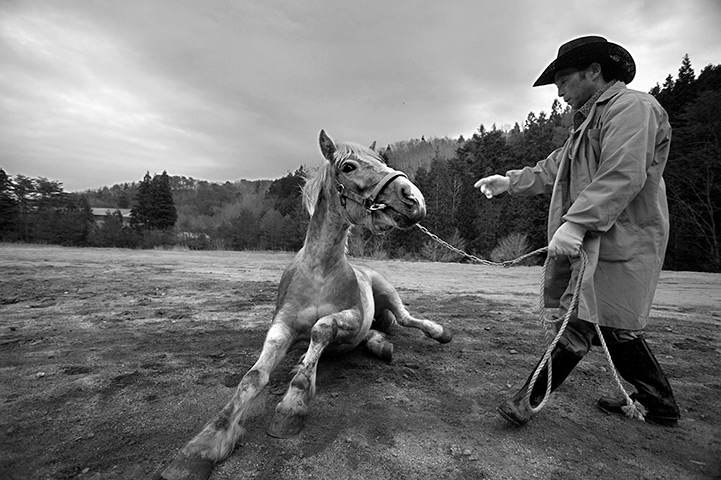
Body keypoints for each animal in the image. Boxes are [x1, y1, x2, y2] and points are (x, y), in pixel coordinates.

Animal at [160, 130, 450, 480]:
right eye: (349, 167)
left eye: (382, 161)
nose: (413, 198)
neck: (318, 271)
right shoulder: (282, 326)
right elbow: (253, 378)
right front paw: (203, 446)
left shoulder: (352, 317)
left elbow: (321, 328)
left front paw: (292, 403)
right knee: (375, 333)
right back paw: (380, 344)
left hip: (388, 292)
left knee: (407, 319)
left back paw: (436, 332)